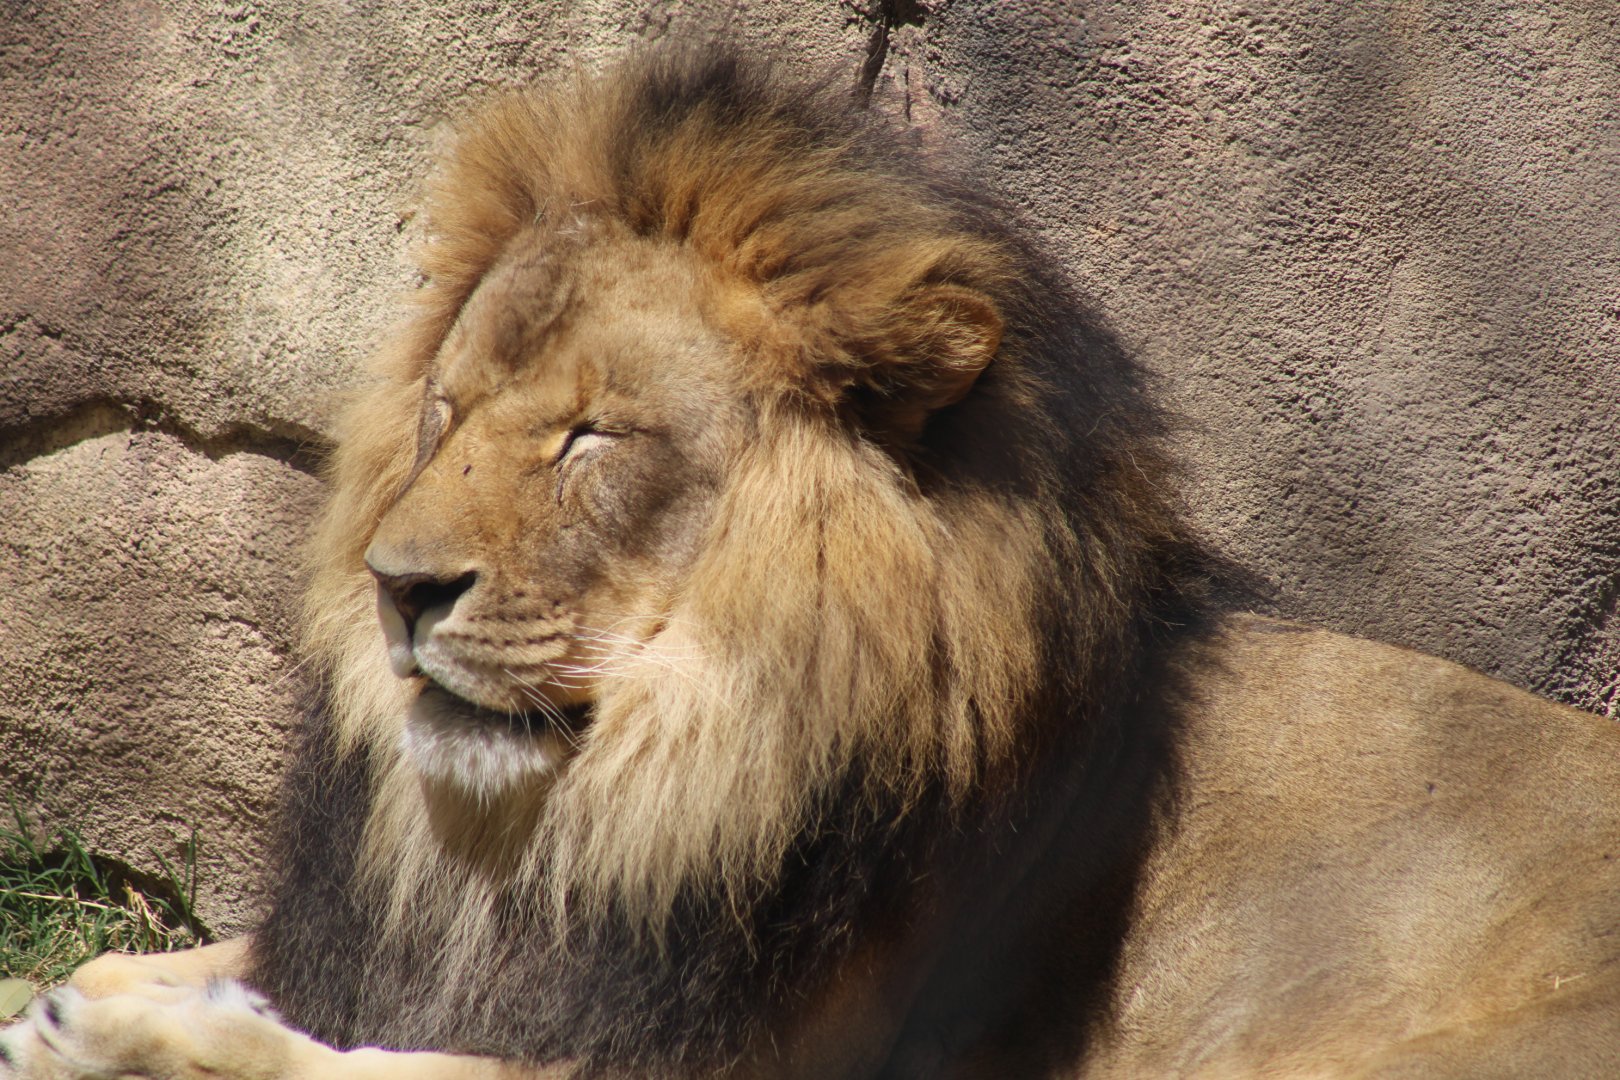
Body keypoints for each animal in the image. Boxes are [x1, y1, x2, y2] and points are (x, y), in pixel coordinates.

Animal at [4, 46, 1619, 1080]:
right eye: (446, 414)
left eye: (590, 438)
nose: (400, 590)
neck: (655, 779)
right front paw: (59, 1004)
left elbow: (371, 1064)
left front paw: (134, 1035)